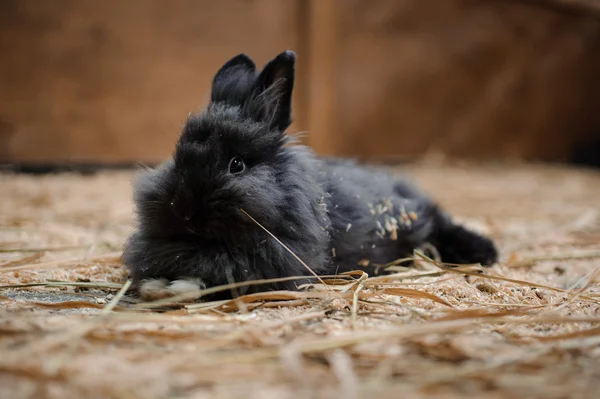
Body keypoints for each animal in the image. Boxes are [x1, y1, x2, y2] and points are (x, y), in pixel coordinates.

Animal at [122, 50, 496, 300]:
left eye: (237, 164)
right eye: (177, 156)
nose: (185, 211)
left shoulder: (268, 262)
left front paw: (173, 287)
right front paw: (156, 283)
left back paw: (485, 253)